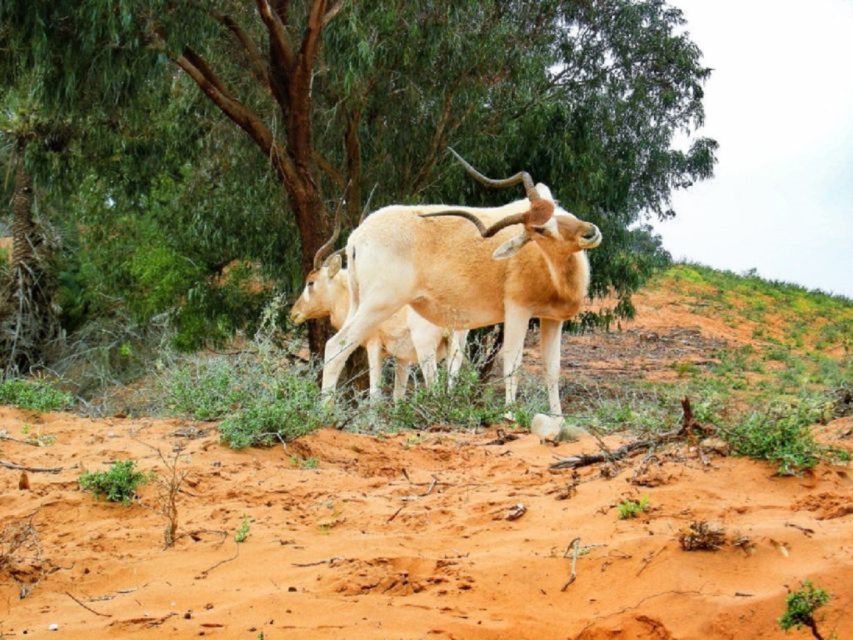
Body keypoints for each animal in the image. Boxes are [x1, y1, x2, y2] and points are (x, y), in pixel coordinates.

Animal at [322, 151, 604, 420]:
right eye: (540, 229)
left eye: (558, 209)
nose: (590, 232)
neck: (543, 260)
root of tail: (356, 237)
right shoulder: (517, 310)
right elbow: (512, 363)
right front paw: (510, 415)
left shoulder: (552, 319)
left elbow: (552, 369)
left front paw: (558, 419)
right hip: (380, 305)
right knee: (336, 345)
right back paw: (324, 413)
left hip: (363, 304)